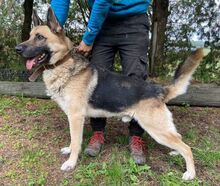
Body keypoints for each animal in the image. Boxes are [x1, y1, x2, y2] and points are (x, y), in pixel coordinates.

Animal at [15, 7, 210, 180]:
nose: (17, 49)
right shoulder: (73, 118)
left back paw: (190, 173)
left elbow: (76, 142)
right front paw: (69, 151)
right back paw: (176, 153)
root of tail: (158, 89)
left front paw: (71, 163)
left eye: (40, 37)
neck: (64, 64)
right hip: (162, 129)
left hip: (156, 129)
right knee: (180, 139)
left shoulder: (76, 117)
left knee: (187, 147)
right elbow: (73, 140)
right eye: (30, 36)